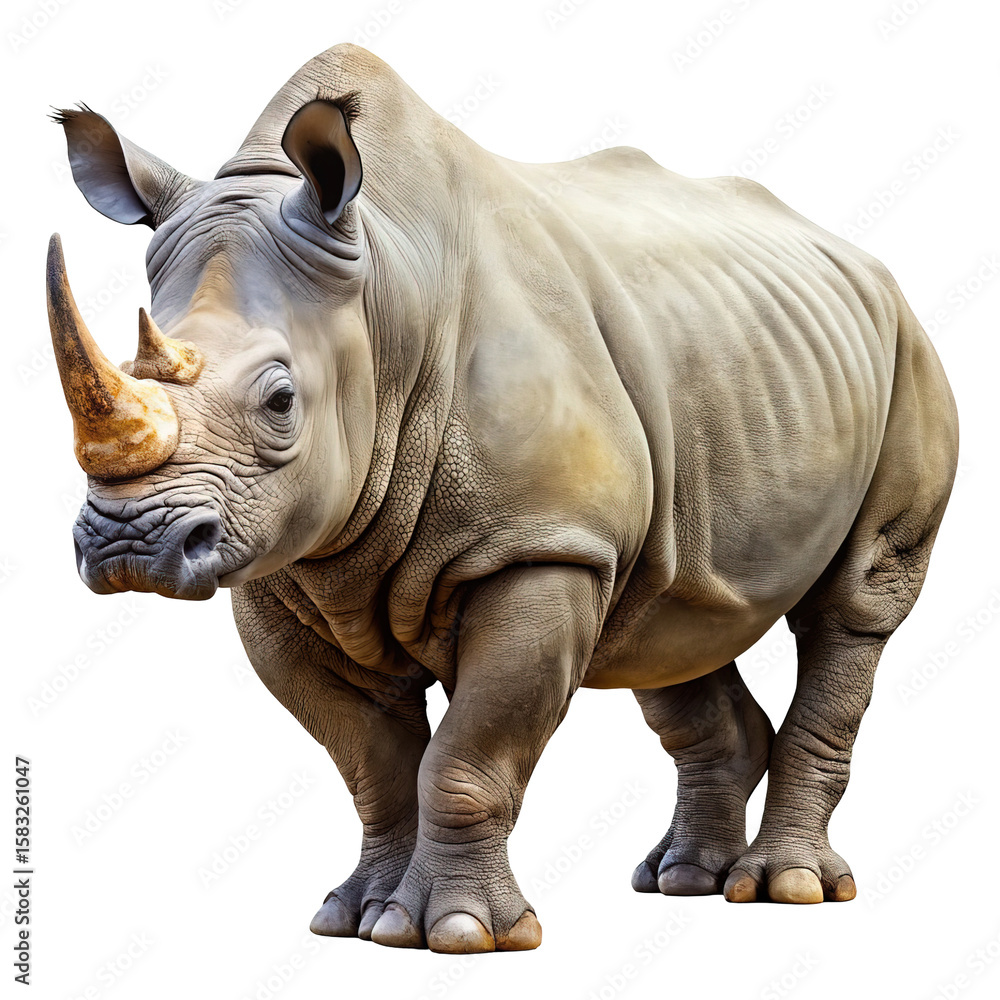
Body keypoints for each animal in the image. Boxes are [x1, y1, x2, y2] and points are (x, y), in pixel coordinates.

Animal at [48, 43, 958, 954]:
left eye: (280, 401)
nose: (129, 544)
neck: (383, 290)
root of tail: (865, 264)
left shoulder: (537, 545)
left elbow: (467, 755)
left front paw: (458, 933)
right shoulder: (285, 563)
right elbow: (371, 763)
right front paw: (353, 919)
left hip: (909, 355)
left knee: (850, 607)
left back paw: (787, 889)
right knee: (667, 612)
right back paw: (684, 881)